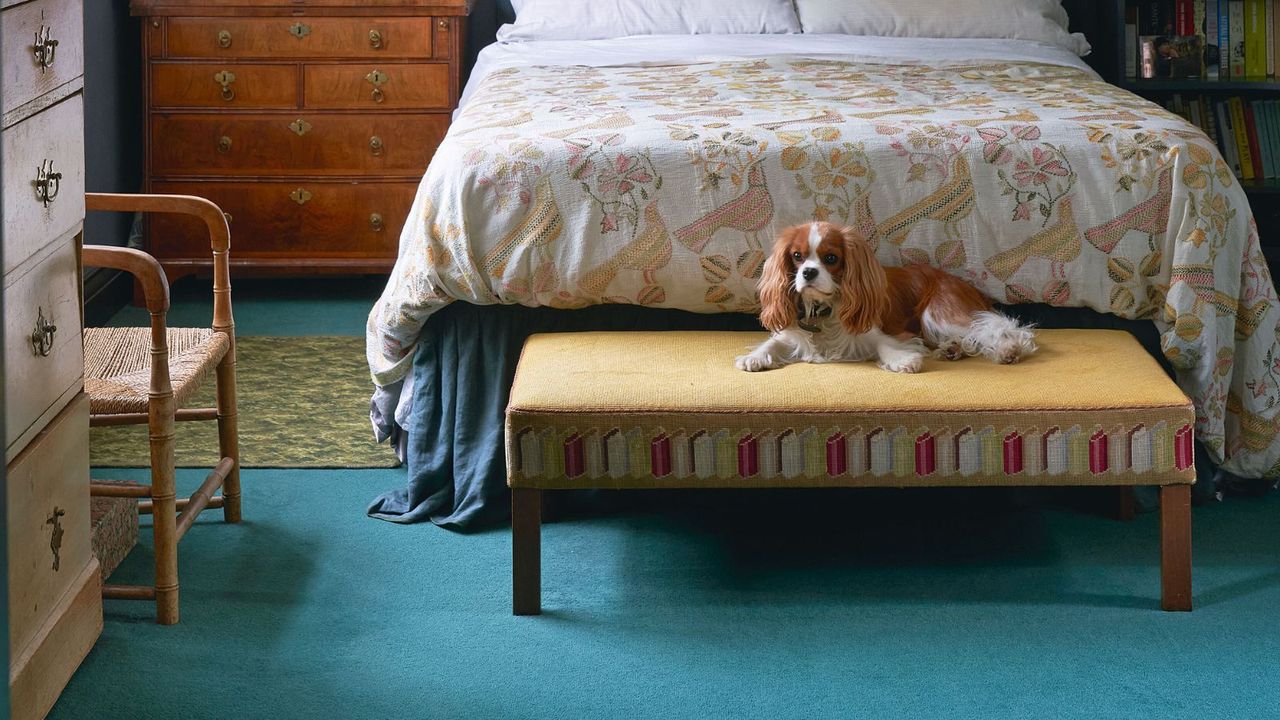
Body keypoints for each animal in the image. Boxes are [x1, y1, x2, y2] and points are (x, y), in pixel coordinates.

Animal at [737, 221, 1034, 371]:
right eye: (797, 256)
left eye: (831, 258)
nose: (808, 272)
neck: (825, 309)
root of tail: (961, 282)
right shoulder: (793, 333)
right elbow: (774, 342)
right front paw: (754, 358)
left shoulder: (885, 331)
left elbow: (884, 344)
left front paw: (903, 360)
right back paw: (952, 349)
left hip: (937, 312)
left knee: (998, 325)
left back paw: (1008, 349)